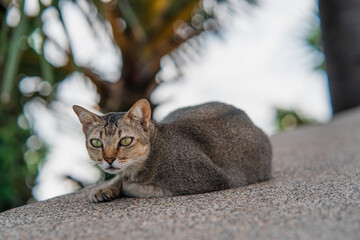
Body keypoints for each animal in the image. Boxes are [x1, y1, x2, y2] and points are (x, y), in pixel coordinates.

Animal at [72, 99, 270, 202]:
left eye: (125, 141)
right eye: (96, 143)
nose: (109, 159)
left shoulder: (209, 179)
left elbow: (144, 189)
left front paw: (125, 186)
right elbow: (119, 177)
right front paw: (106, 188)